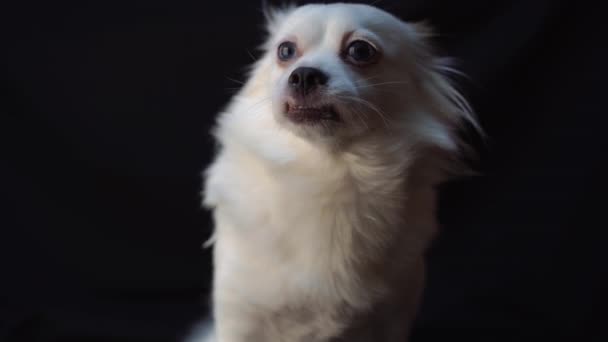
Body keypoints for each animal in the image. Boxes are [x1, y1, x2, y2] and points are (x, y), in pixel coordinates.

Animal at [195, 3, 480, 342]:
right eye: (285, 50)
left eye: (360, 50)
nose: (304, 74)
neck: (327, 169)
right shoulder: (241, 317)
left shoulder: (395, 314)